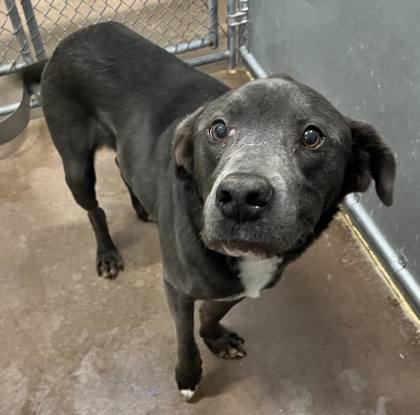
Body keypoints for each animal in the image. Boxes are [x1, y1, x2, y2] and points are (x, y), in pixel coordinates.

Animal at [19, 22, 396, 400]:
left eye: (312, 136)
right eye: (218, 128)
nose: (241, 196)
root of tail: (65, 44)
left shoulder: (240, 286)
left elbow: (213, 309)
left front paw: (215, 338)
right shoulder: (176, 286)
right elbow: (184, 336)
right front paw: (188, 375)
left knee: (120, 163)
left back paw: (141, 205)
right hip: (76, 166)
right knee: (94, 210)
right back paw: (108, 253)